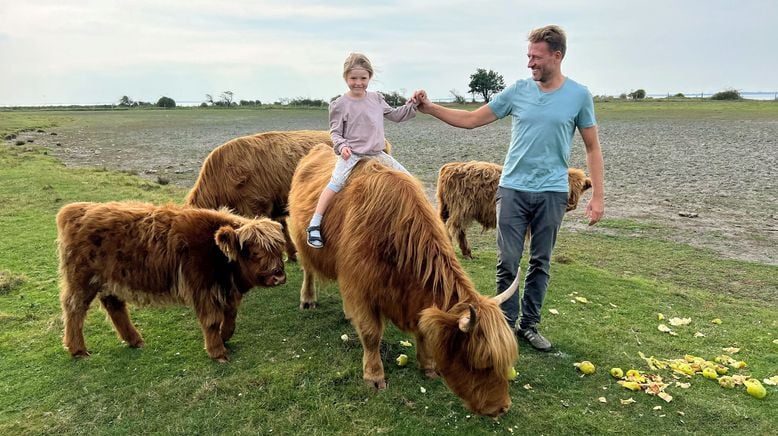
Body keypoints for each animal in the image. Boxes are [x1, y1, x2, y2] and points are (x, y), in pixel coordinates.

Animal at [56, 203, 284, 362]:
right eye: (254, 253)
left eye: (278, 250)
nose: (279, 276)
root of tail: (76, 209)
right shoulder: (203, 289)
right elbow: (211, 321)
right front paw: (218, 352)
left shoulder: (225, 291)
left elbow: (230, 317)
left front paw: (224, 337)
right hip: (82, 279)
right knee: (74, 308)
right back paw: (78, 350)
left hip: (110, 280)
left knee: (115, 306)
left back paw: (135, 340)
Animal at [288, 145, 520, 418]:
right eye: (481, 362)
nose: (502, 407)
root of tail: (317, 149)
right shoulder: (360, 287)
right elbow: (371, 334)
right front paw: (374, 376)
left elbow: (422, 330)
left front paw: (428, 366)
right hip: (302, 242)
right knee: (308, 270)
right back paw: (308, 299)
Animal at [434, 163, 592, 258]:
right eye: (567, 186)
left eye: (580, 189)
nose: (571, 204)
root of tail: (449, 167)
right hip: (461, 209)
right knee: (453, 227)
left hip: (447, 208)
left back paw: (466, 253)